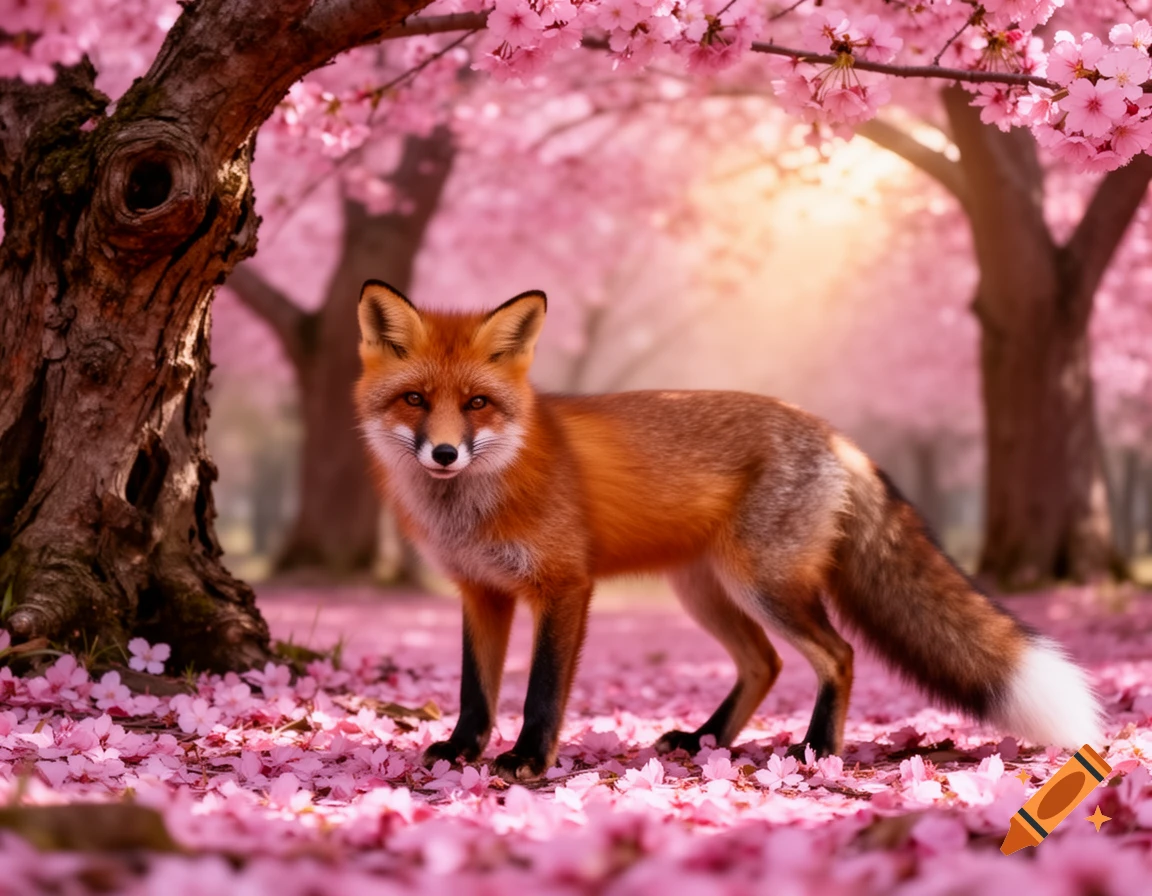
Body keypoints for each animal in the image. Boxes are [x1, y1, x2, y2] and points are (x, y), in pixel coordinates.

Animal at [353, 279, 1105, 783]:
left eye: (478, 403)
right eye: (415, 399)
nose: (444, 454)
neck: (474, 503)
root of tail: (837, 436)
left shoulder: (564, 585)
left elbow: (542, 690)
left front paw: (528, 759)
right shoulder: (481, 592)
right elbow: (474, 690)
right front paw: (463, 750)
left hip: (761, 585)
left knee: (837, 654)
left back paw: (817, 750)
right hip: (706, 592)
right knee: (764, 663)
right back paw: (705, 740)